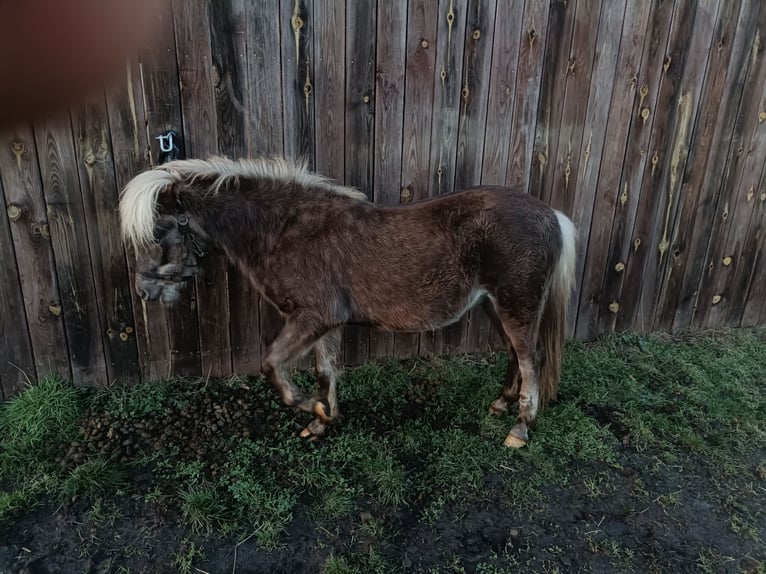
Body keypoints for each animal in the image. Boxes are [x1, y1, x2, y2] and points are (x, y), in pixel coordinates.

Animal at [119, 155, 576, 448]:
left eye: (158, 231)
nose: (145, 292)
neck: (285, 230)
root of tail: (551, 215)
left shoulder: (312, 318)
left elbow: (272, 365)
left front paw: (314, 408)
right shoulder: (324, 324)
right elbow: (325, 371)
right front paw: (323, 421)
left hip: (517, 305)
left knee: (531, 360)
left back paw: (521, 428)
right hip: (494, 306)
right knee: (515, 356)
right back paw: (500, 405)